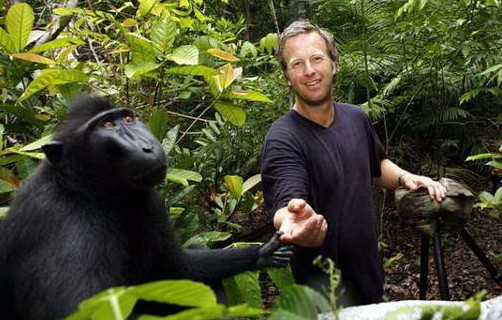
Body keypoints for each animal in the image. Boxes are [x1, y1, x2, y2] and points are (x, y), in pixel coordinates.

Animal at [0, 95, 294, 320]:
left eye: (128, 119)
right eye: (107, 124)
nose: (148, 146)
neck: (91, 192)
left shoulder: (151, 203)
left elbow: (177, 267)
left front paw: (263, 253)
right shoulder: (65, 225)